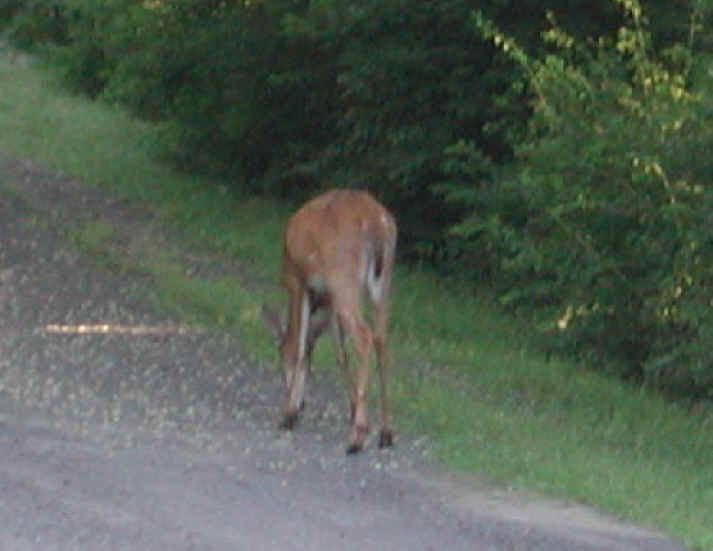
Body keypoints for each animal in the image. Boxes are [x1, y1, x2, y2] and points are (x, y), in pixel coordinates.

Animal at [262, 189, 397, 454]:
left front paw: (289, 414)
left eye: (280, 359)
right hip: (382, 284)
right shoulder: (329, 301)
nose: (302, 403)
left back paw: (357, 437)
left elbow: (301, 346)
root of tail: (376, 222)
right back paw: (386, 433)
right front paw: (353, 407)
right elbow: (339, 353)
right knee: (381, 340)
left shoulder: (299, 282)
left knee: (364, 337)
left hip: (343, 277)